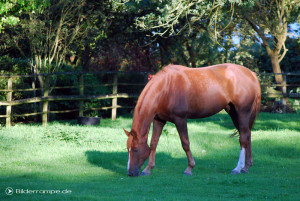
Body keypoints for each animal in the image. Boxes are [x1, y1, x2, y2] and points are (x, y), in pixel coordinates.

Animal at [123, 63, 260, 177]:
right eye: (127, 149)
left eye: (135, 149)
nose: (130, 173)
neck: (165, 88)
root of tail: (251, 74)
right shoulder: (159, 120)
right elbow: (153, 144)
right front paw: (148, 169)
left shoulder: (180, 120)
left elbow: (185, 143)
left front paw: (189, 168)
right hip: (233, 112)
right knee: (247, 135)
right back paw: (246, 167)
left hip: (242, 112)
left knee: (243, 138)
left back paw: (238, 168)